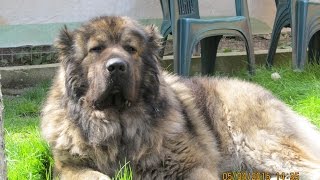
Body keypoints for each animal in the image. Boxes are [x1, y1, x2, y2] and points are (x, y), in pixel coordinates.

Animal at [41, 16, 320, 179]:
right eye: (96, 49)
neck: (119, 123)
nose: (117, 66)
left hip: (262, 147)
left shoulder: (193, 165)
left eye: (131, 49)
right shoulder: (68, 167)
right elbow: (97, 175)